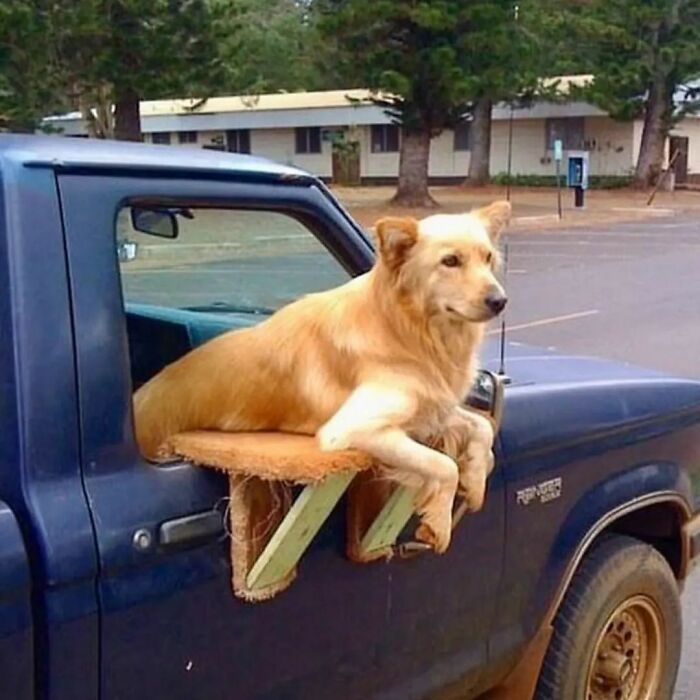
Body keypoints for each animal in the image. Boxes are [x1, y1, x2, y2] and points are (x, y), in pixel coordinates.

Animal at [134, 198, 512, 552]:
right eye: (450, 261)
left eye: (488, 258)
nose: (500, 301)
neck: (408, 327)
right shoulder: (352, 429)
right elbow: (443, 464)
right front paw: (440, 523)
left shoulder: (431, 408)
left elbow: (481, 427)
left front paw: (475, 482)